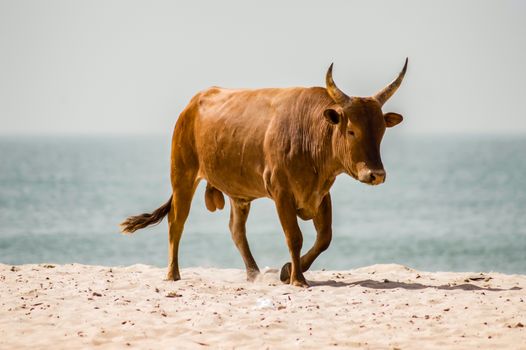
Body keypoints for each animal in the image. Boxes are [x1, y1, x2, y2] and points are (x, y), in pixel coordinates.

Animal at [121, 58, 410, 288]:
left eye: (381, 132)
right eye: (352, 131)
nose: (376, 174)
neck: (309, 132)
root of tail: (193, 103)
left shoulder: (321, 194)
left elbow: (324, 237)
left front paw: (287, 271)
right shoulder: (282, 193)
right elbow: (295, 237)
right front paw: (297, 279)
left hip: (238, 195)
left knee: (236, 230)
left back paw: (253, 273)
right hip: (182, 175)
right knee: (176, 222)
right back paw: (173, 274)